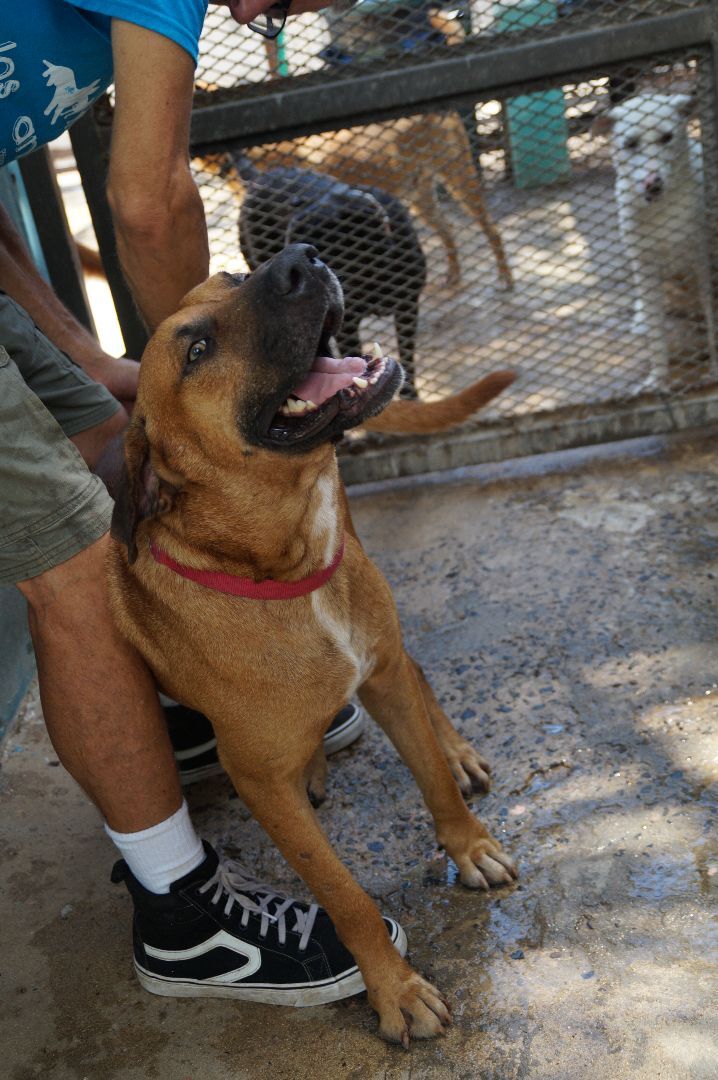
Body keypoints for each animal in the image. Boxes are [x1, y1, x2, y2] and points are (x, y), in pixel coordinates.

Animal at [107, 247, 516, 1045]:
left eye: (233, 278)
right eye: (196, 352)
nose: (300, 260)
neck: (284, 568)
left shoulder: (381, 673)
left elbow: (430, 777)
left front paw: (468, 842)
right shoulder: (262, 782)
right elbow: (343, 892)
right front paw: (394, 988)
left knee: (417, 670)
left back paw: (451, 749)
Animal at [591, 91, 716, 388]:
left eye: (667, 137)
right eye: (630, 143)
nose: (653, 183)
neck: (663, 210)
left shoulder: (702, 263)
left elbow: (713, 319)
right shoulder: (646, 269)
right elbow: (656, 338)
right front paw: (658, 381)